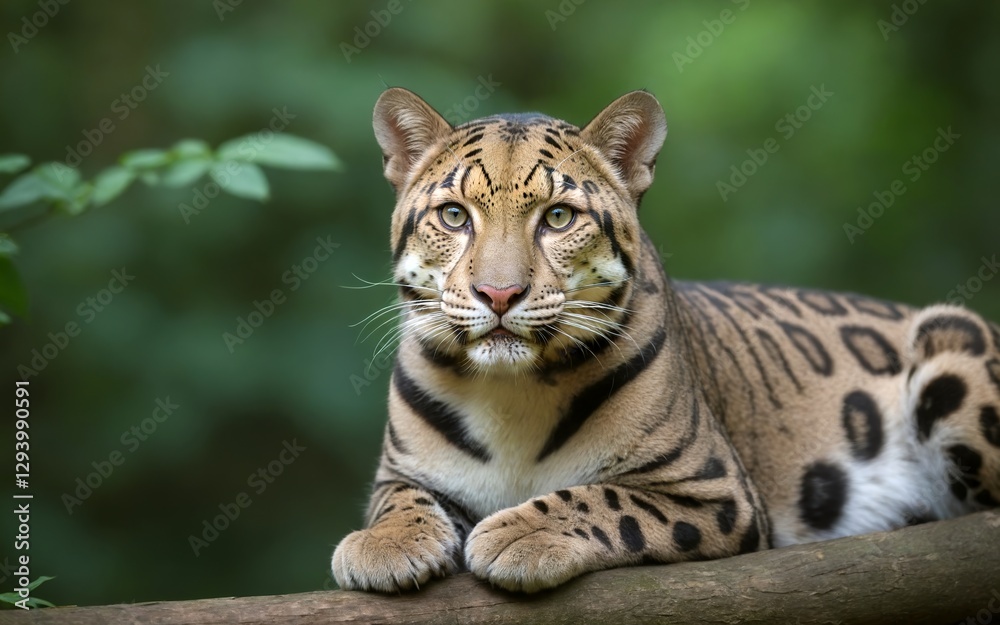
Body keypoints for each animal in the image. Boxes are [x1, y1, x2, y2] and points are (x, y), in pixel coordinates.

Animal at [331, 87, 1000, 593]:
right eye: (453, 216)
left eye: (558, 217)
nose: (499, 294)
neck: (511, 393)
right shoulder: (400, 472)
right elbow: (401, 501)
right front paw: (385, 544)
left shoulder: (718, 493)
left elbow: (603, 499)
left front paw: (520, 533)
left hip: (951, 339)